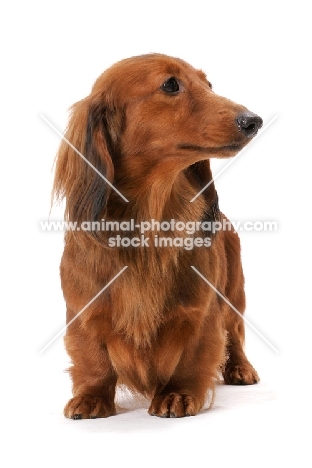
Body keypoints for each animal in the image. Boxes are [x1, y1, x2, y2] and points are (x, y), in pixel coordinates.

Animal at [53, 53, 260, 418]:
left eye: (208, 84)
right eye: (171, 84)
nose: (253, 120)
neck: (148, 226)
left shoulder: (201, 311)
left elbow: (193, 355)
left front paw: (176, 393)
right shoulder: (83, 310)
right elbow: (94, 360)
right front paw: (91, 397)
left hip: (234, 294)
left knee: (235, 334)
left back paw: (240, 368)